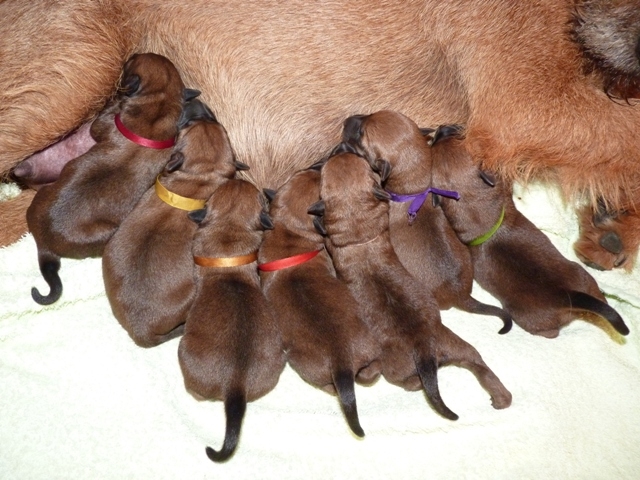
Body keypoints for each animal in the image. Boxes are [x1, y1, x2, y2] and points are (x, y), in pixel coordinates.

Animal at [25, 53, 193, 305]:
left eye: (131, 61)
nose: (132, 53)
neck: (159, 102)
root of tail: (43, 243)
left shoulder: (101, 126)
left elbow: (99, 124)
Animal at [314, 149, 512, 420]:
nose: (342, 150)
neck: (361, 235)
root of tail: (426, 353)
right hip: (458, 346)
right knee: (480, 364)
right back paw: (501, 398)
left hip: (396, 368)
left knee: (410, 382)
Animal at [424, 124, 630, 338]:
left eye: (459, 139)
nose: (442, 127)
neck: (482, 219)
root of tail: (568, 296)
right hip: (536, 314)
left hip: (581, 277)